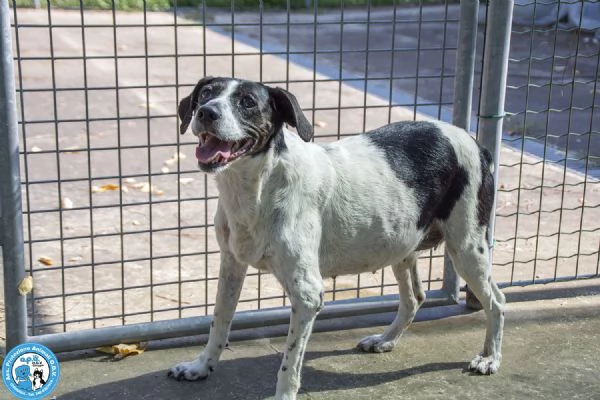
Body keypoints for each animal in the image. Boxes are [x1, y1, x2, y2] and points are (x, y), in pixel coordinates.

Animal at [169, 76, 506, 398]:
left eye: (248, 102)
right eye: (206, 94)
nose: (206, 112)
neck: (256, 189)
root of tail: (475, 143)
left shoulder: (307, 295)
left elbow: (289, 363)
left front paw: (283, 394)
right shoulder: (231, 267)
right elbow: (219, 323)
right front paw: (201, 366)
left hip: (467, 249)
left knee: (497, 302)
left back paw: (490, 357)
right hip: (402, 244)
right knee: (415, 298)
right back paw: (384, 339)